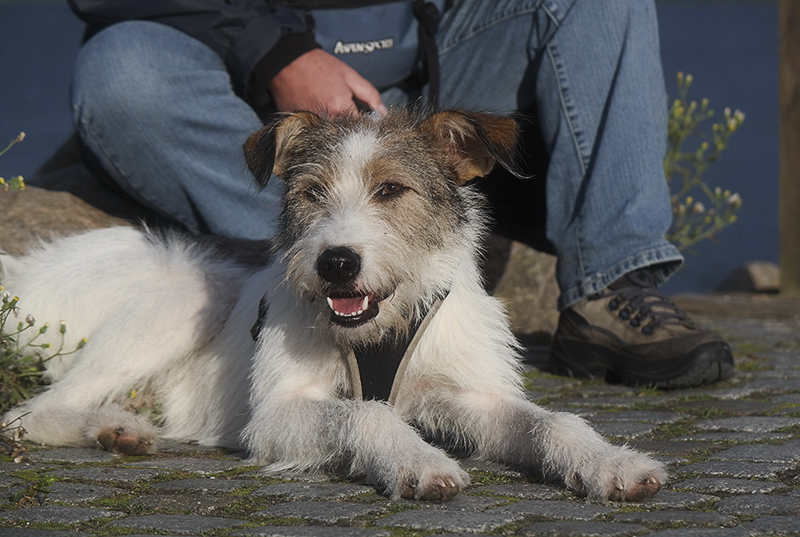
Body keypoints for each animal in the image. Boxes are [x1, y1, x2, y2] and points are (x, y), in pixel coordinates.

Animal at [1, 109, 664, 502]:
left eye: (391, 190)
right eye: (312, 192)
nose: (336, 263)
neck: (380, 329)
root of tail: (30, 266)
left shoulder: (472, 394)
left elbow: (554, 421)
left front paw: (612, 464)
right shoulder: (273, 416)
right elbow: (366, 413)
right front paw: (417, 462)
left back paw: (117, 426)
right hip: (185, 297)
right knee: (29, 413)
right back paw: (112, 427)